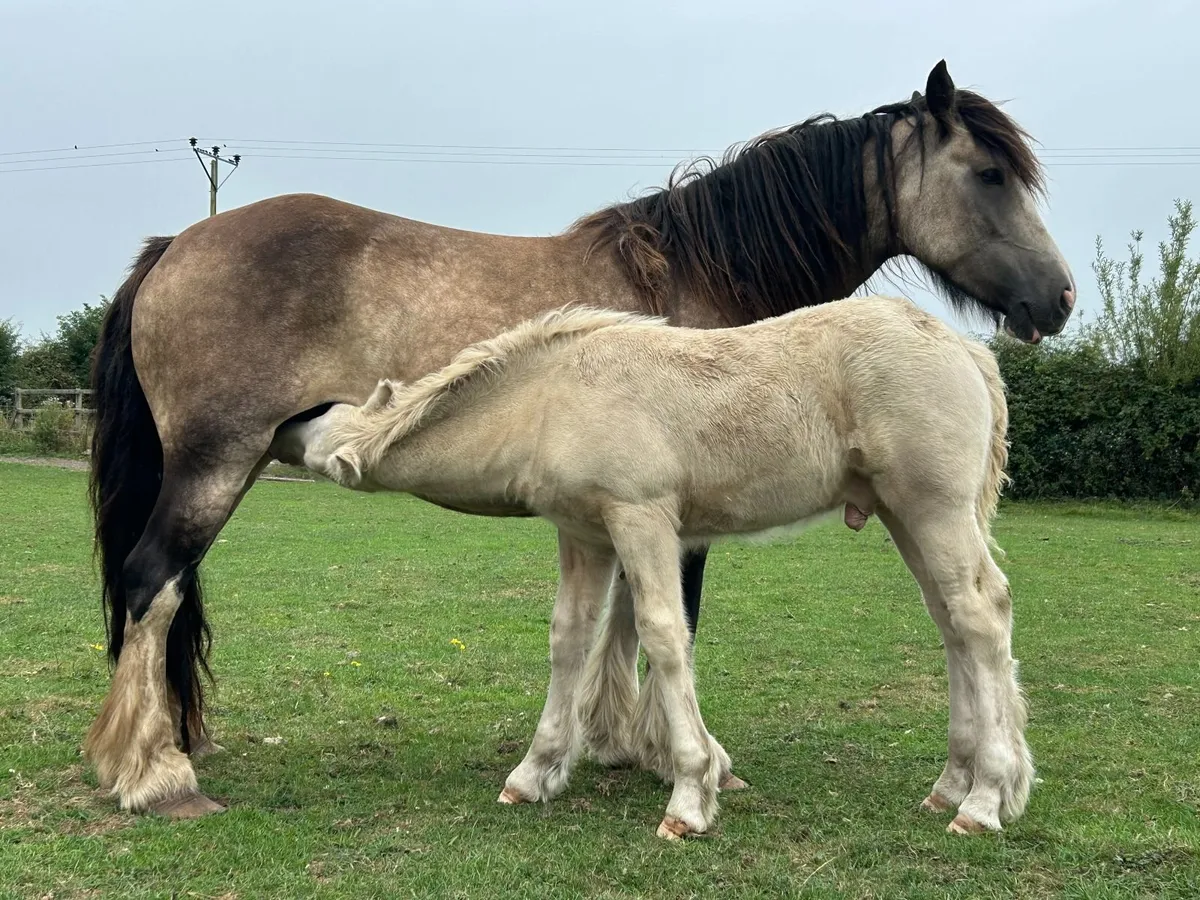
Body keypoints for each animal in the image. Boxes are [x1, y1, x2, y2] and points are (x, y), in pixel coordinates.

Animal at [272, 295, 1027, 839]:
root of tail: (964, 347)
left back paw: (984, 800)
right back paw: (950, 786)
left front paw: (689, 797)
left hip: (934, 509)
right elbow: (570, 640)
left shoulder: (642, 520)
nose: (282, 423)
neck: (551, 399)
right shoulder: (584, 536)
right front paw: (534, 773)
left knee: (980, 618)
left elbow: (665, 636)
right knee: (952, 624)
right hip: (905, 515)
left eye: (319, 429)